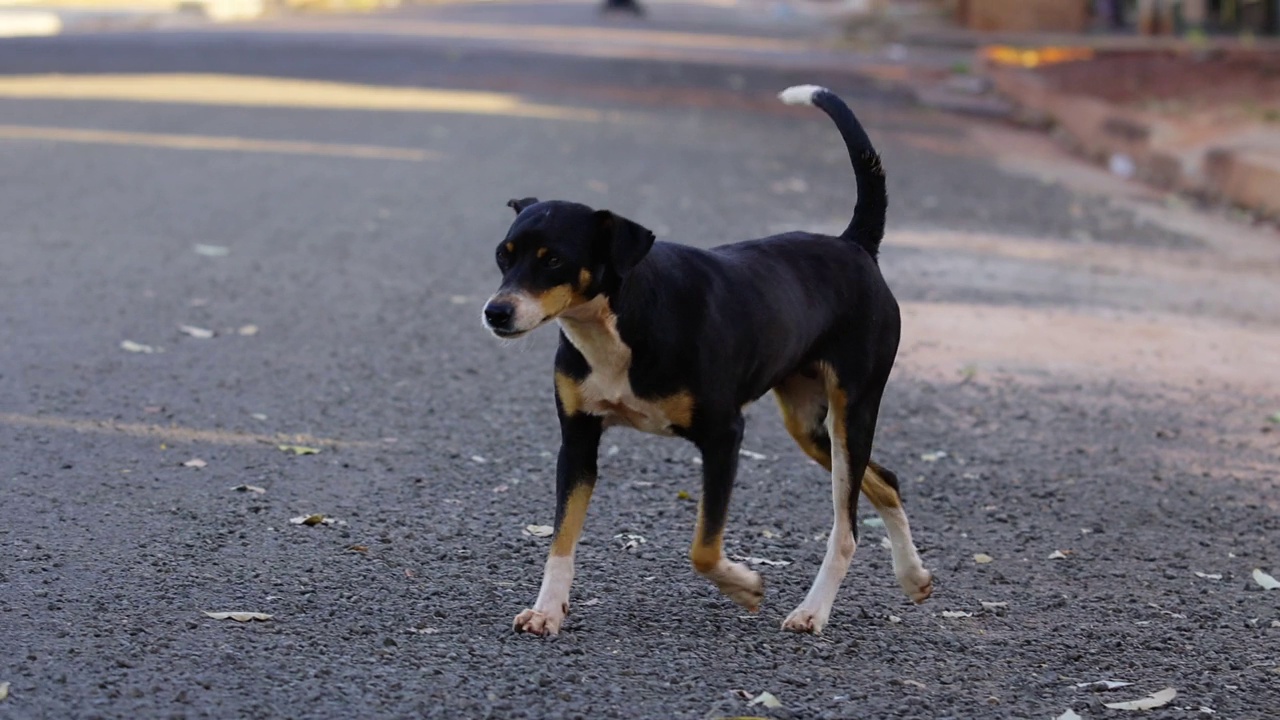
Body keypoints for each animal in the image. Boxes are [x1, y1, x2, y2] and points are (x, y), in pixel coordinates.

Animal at [483, 85, 936, 632]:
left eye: (553, 259)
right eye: (503, 255)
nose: (496, 312)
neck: (620, 325)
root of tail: (855, 245)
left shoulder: (724, 436)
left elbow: (703, 547)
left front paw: (744, 586)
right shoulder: (577, 441)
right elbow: (561, 539)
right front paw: (548, 610)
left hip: (853, 412)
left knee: (846, 526)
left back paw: (812, 611)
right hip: (810, 425)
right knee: (886, 482)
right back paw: (913, 577)